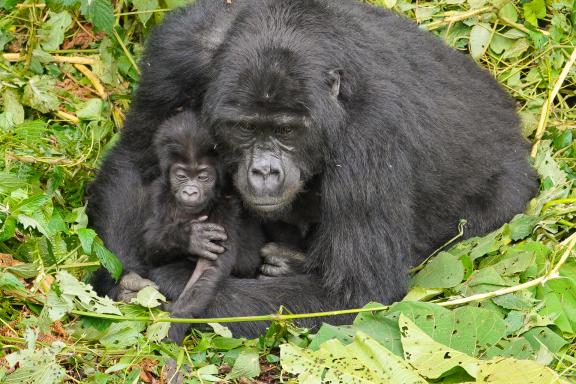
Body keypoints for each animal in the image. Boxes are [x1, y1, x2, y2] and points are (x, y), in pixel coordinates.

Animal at [88, 0, 536, 336]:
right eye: (246, 128)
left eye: (286, 130)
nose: (264, 172)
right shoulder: (179, 49)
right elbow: (138, 160)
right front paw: (126, 277)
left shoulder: (373, 129)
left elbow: (354, 293)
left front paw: (172, 280)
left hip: (509, 191)